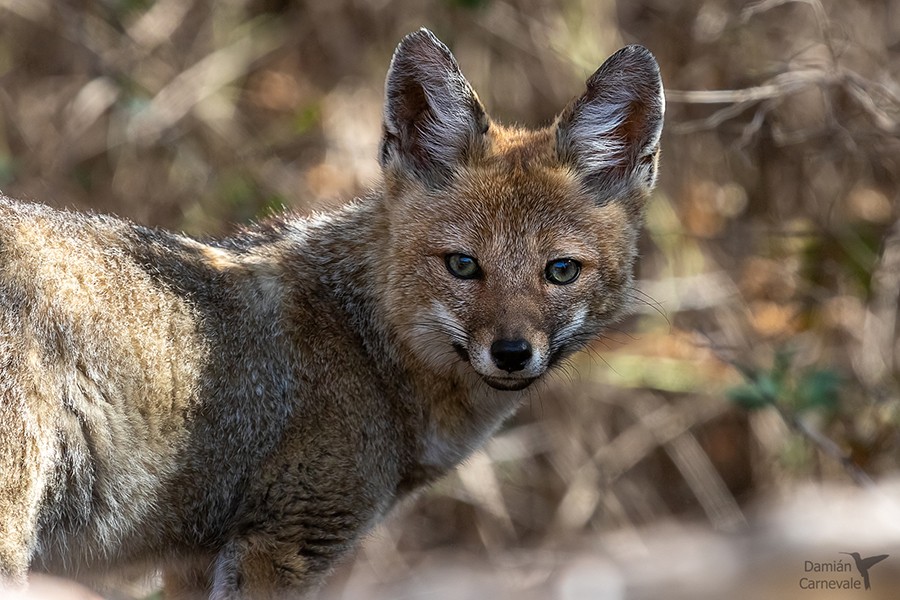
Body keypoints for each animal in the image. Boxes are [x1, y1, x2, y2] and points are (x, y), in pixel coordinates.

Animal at [0, 28, 663, 599]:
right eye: (463, 265)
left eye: (561, 271)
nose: (511, 353)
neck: (365, 346)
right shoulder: (284, 545)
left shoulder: (194, 561)